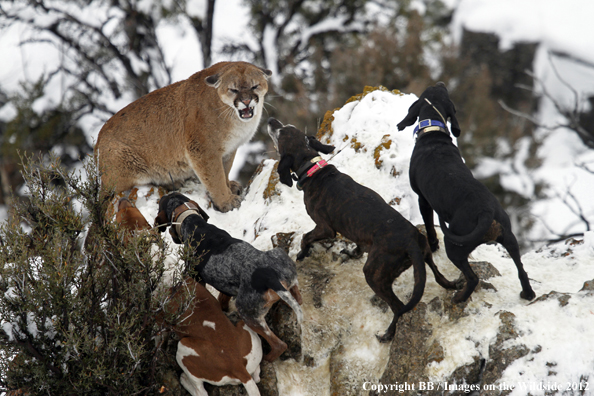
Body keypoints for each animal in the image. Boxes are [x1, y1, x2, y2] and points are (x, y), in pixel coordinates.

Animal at [154, 192, 300, 362]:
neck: (192, 221)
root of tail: (271, 278)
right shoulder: (225, 284)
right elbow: (222, 299)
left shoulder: (195, 278)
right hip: (283, 264)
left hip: (247, 312)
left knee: (279, 345)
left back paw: (266, 358)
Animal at [266, 117, 456, 344]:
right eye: (287, 127)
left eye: (280, 133)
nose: (270, 120)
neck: (312, 169)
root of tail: (410, 244)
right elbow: (357, 245)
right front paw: (352, 253)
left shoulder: (325, 228)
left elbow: (305, 238)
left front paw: (302, 254)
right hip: (425, 253)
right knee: (439, 277)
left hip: (374, 274)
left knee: (399, 307)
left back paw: (388, 334)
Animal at [396, 81, 536, 304]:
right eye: (441, 91)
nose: (441, 82)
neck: (433, 133)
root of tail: (486, 213)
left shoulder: (422, 199)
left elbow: (429, 227)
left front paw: (433, 246)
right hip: (509, 238)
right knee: (521, 270)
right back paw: (527, 293)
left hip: (454, 246)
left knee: (473, 278)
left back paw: (459, 297)